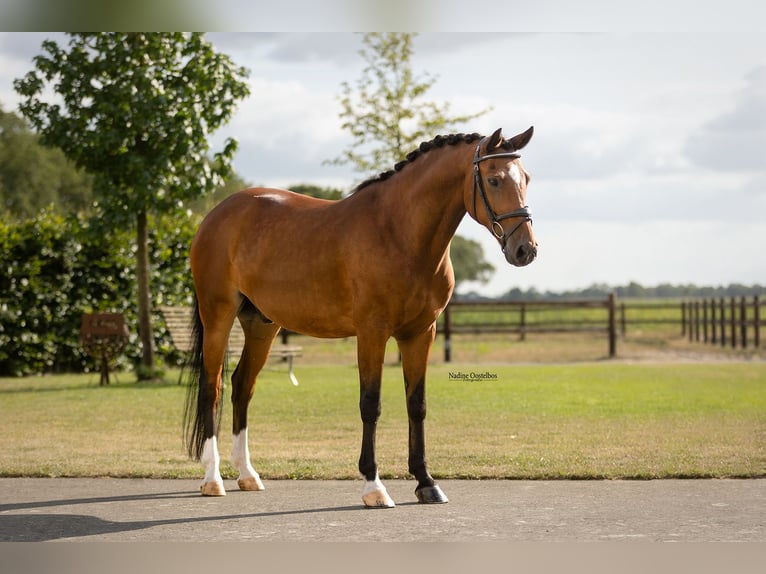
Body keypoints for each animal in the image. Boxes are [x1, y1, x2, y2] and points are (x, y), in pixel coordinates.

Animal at [183, 126, 537, 507]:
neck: (398, 232)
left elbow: (417, 405)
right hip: (217, 316)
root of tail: (217, 214)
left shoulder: (421, 333)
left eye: (526, 178)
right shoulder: (372, 332)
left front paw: (426, 483)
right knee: (212, 388)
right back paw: (212, 478)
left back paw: (247, 474)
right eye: (495, 179)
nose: (525, 250)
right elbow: (371, 404)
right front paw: (373, 485)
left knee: (241, 386)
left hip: (262, 324)